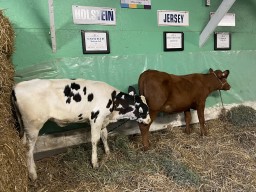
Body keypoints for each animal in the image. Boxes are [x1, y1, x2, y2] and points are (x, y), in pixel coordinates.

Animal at [12, 78, 151, 180]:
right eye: (143, 110)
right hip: (33, 126)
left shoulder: (103, 120)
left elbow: (104, 135)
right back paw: (32, 174)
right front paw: (95, 162)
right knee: (28, 149)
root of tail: (16, 87)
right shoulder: (96, 118)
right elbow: (95, 140)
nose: (149, 120)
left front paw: (107, 151)